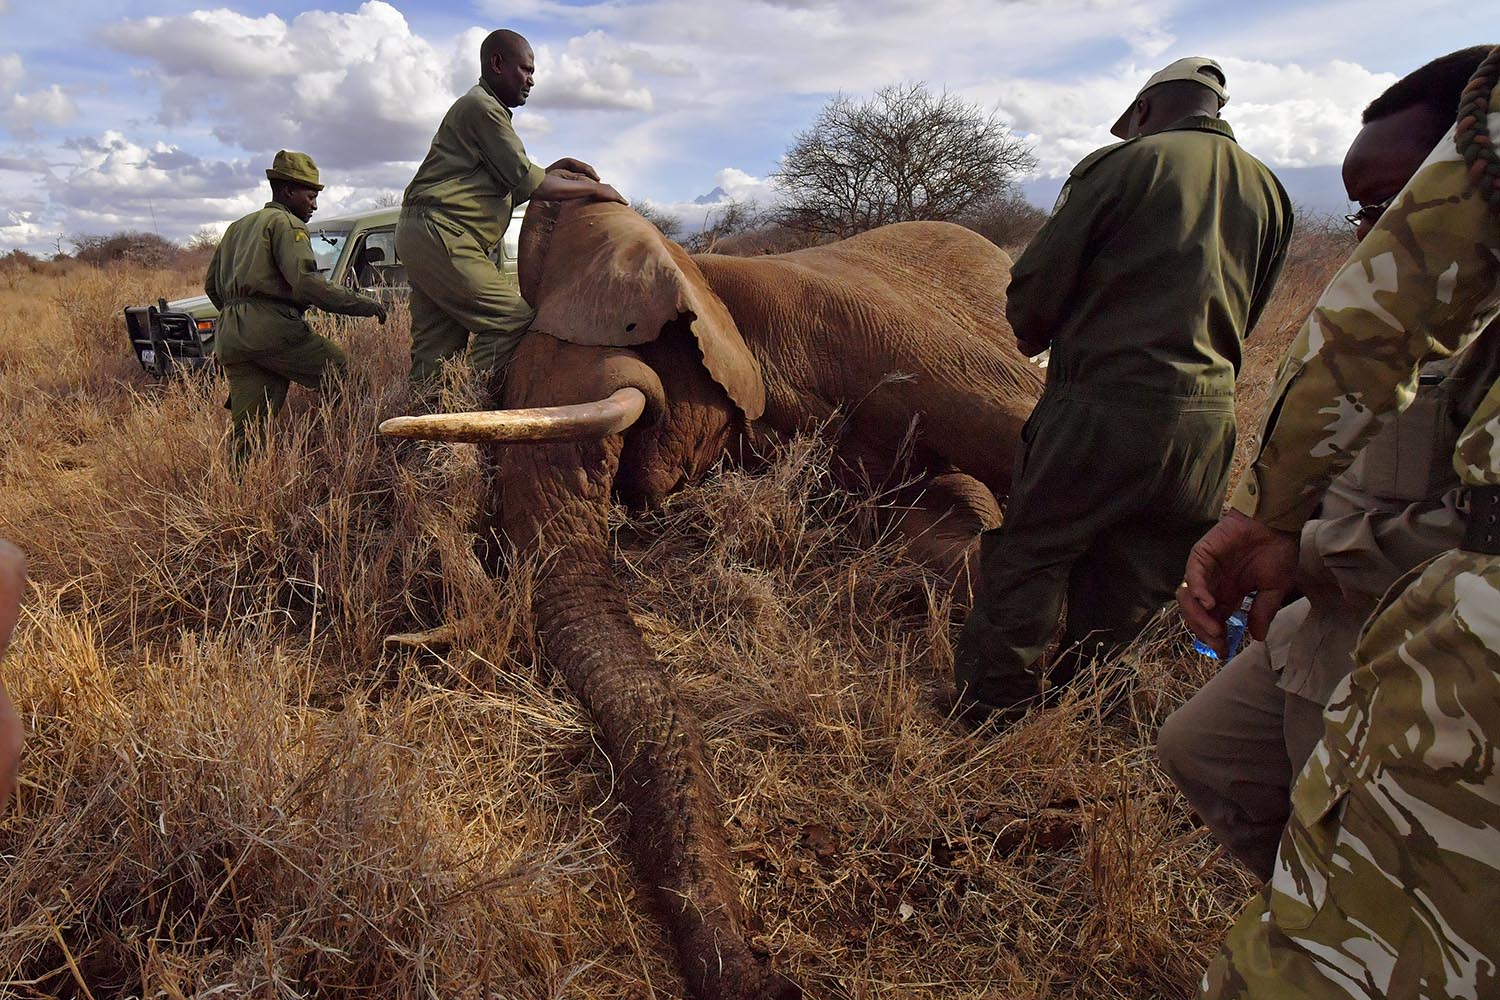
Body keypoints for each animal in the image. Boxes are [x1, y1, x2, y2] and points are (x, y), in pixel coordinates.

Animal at [381, 199, 1050, 995]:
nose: (769, 970)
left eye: (628, 425)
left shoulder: (873, 324)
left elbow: (1029, 430)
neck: (701, 278)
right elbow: (932, 529)